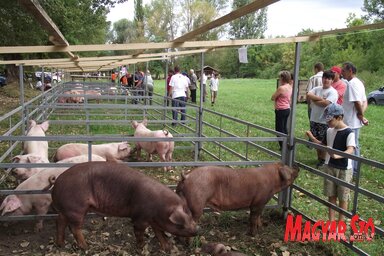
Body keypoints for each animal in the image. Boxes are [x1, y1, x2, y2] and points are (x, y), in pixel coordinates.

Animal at [51, 162, 198, 252]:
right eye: (180, 224)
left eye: (191, 216)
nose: (197, 231)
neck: (160, 208)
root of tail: (57, 183)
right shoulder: (139, 217)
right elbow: (139, 232)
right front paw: (142, 247)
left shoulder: (154, 220)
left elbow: (159, 233)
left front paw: (167, 248)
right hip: (76, 208)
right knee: (74, 228)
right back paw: (86, 247)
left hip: (66, 209)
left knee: (60, 221)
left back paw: (61, 244)